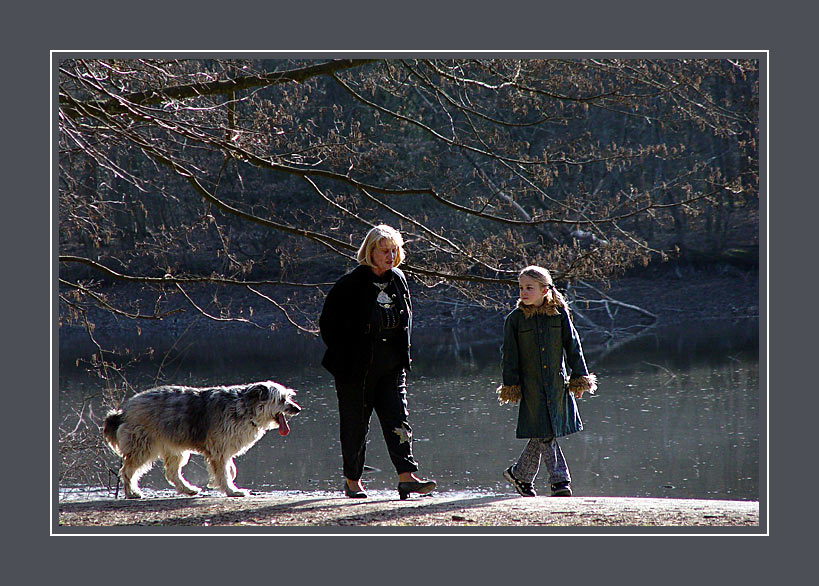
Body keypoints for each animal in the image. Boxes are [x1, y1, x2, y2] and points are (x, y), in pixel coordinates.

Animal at [102, 378, 302, 498]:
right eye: (281, 399)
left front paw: (228, 479)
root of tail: (124, 411)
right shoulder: (219, 450)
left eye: (288, 397)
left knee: (172, 473)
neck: (245, 408)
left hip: (174, 448)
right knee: (127, 470)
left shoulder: (224, 449)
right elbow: (223, 472)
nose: (297, 409)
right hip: (143, 446)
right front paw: (231, 490)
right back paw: (131, 492)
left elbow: (229, 469)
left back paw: (187, 489)